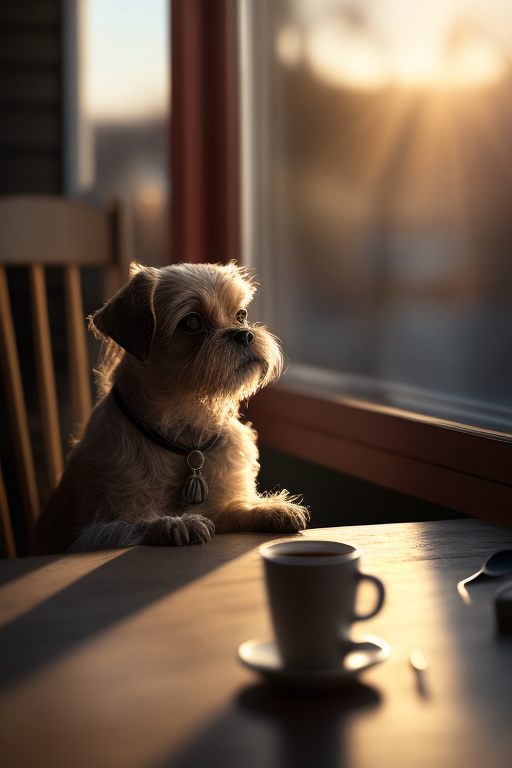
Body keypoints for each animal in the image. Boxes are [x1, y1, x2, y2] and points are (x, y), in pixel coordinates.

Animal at [36, 260, 310, 552]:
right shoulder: (91, 534)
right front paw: (175, 523)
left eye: (241, 314)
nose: (245, 334)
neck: (188, 428)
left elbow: (236, 508)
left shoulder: (219, 509)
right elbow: (134, 524)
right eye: (192, 322)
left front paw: (268, 508)